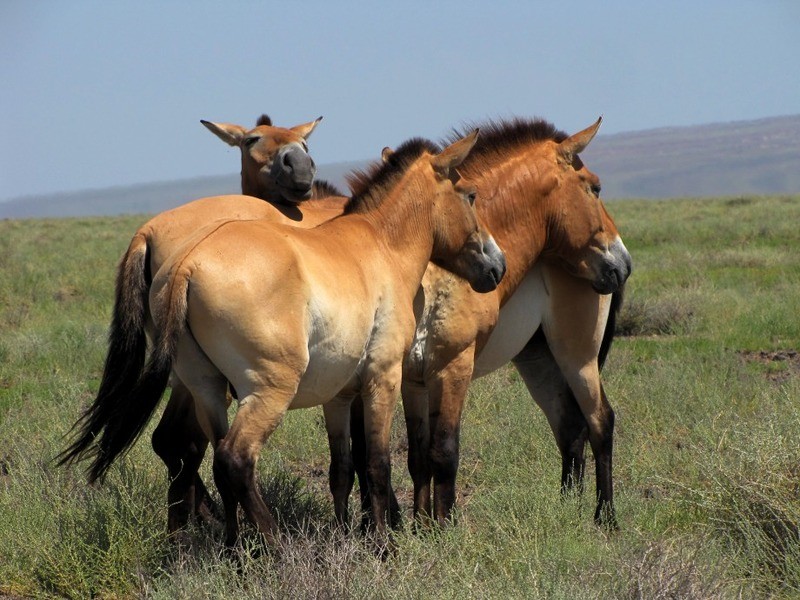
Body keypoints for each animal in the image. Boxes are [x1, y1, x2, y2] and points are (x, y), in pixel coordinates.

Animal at [60, 132, 507, 549]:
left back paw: (235, 551)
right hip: (268, 392)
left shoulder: (341, 394)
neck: (381, 245)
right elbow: (378, 464)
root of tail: (186, 264)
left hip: (207, 390)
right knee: (234, 458)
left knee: (213, 460)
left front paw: (349, 532)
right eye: (470, 195)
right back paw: (274, 545)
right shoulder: (383, 377)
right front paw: (384, 545)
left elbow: (345, 466)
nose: (497, 265)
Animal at [343, 117, 631, 529]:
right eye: (595, 187)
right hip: (541, 360)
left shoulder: (452, 368)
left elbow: (444, 452)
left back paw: (605, 517)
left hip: (578, 357)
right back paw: (569, 509)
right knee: (571, 426)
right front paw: (422, 526)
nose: (621, 263)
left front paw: (442, 529)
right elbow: (419, 457)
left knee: (600, 421)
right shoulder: (414, 379)